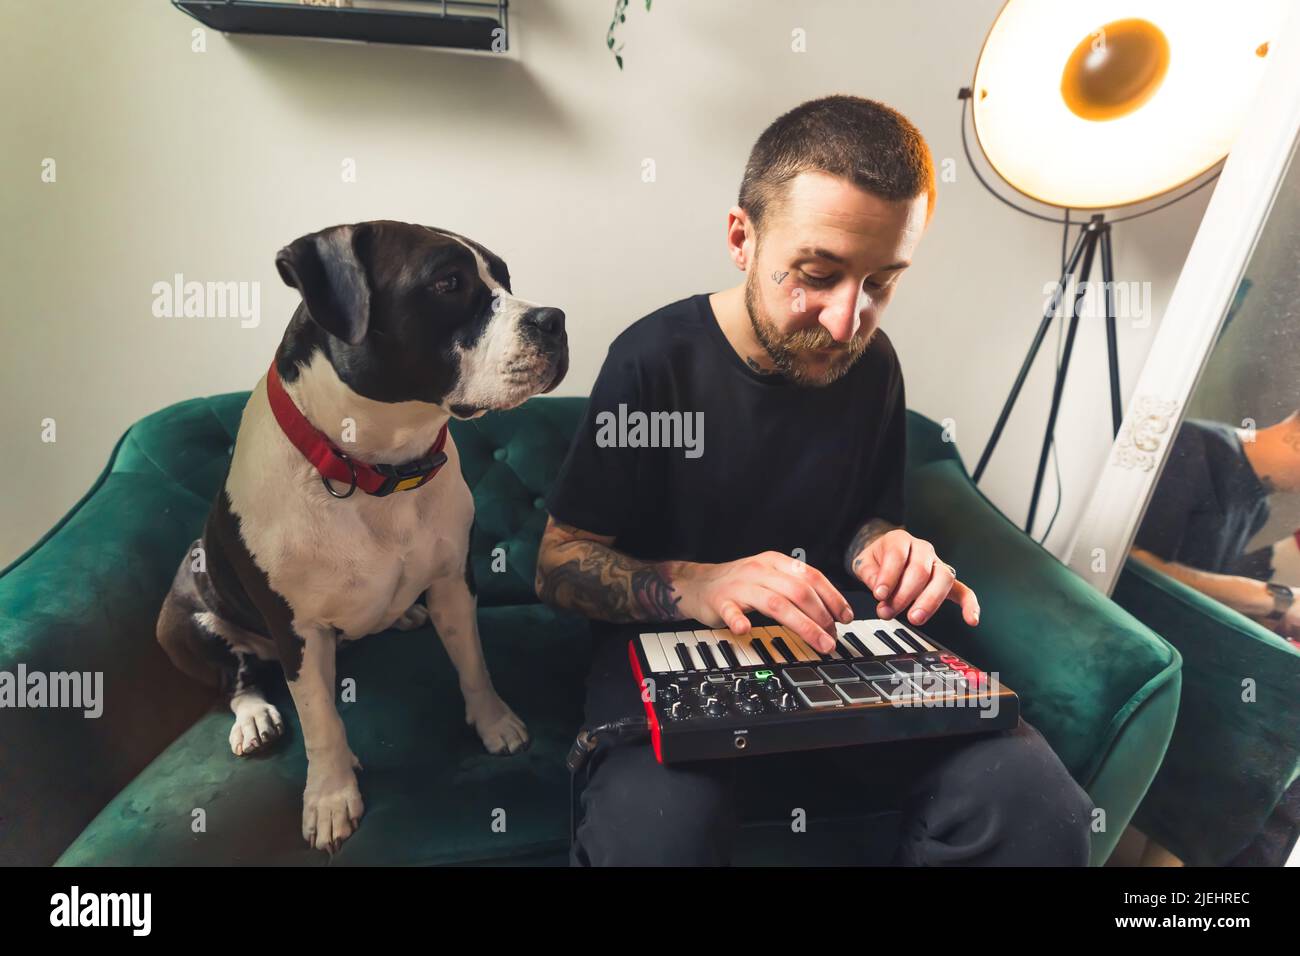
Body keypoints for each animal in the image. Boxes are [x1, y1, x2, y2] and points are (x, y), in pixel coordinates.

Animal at [153, 222, 569, 853]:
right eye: (448, 283)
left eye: (504, 277)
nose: (554, 319)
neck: (377, 468)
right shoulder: (297, 630)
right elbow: (322, 720)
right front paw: (330, 795)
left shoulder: (455, 581)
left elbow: (473, 661)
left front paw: (494, 723)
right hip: (183, 621)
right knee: (236, 678)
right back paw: (254, 715)